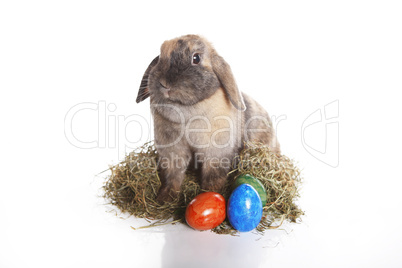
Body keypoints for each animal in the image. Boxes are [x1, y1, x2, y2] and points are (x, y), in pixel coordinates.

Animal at [136, 35, 280, 203]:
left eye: (196, 58)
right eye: (160, 57)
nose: (164, 84)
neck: (185, 113)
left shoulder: (216, 153)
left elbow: (213, 176)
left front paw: (210, 193)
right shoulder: (172, 152)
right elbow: (173, 176)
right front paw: (165, 198)